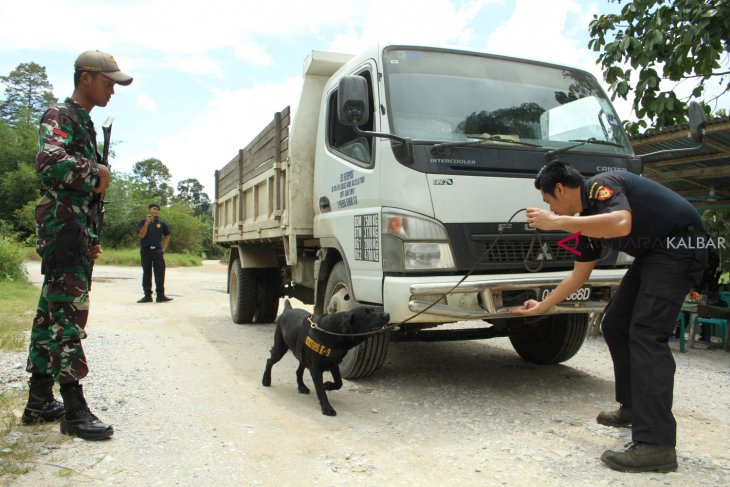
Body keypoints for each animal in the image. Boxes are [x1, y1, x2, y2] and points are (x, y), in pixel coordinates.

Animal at [260, 302, 390, 416]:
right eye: (367, 314)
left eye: (373, 310)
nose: (387, 314)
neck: (333, 332)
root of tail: (287, 309)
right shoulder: (316, 369)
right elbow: (321, 391)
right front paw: (327, 408)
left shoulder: (334, 364)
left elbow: (339, 383)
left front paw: (327, 385)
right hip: (280, 348)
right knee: (269, 360)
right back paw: (266, 379)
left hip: (302, 355)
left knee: (298, 371)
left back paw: (301, 386)